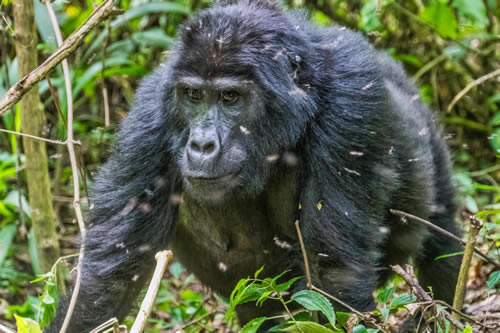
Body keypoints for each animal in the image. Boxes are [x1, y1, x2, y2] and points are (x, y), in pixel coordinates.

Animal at [48, 0, 462, 330]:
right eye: (193, 95)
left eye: (230, 97)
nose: (201, 144)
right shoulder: (150, 116)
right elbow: (110, 276)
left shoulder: (353, 106)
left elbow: (333, 275)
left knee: (442, 240)